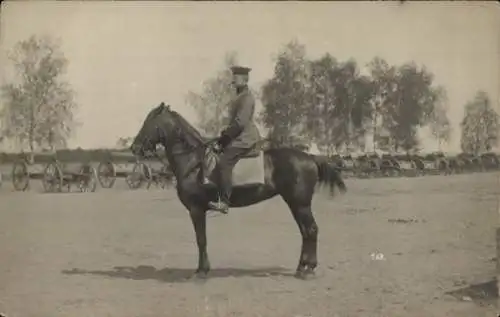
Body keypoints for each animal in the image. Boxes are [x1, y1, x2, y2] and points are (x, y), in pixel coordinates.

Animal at [131, 102, 346, 278]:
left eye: (149, 122)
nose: (134, 148)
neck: (193, 161)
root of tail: (310, 157)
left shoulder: (196, 209)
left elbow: (201, 239)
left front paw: (201, 271)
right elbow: (202, 239)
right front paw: (202, 269)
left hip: (300, 203)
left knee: (311, 230)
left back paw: (308, 269)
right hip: (295, 203)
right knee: (305, 231)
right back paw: (302, 267)